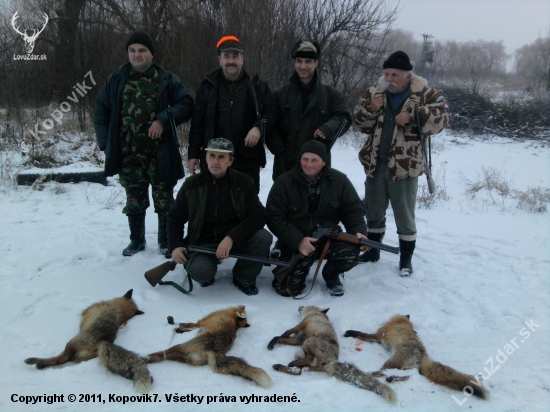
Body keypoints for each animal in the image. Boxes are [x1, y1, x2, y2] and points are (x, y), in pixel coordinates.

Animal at [268, 306, 396, 402]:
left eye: (305, 306)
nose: (299, 305)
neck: (316, 315)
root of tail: (331, 361)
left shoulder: (303, 325)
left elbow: (286, 332)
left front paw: (273, 341)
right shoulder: (297, 339)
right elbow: (280, 338)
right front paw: (273, 342)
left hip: (308, 343)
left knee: (308, 359)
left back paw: (289, 363)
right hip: (302, 352)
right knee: (298, 371)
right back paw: (281, 366)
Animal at [344, 316, 492, 400]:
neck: (401, 321)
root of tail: (424, 355)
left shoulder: (379, 335)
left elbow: (362, 334)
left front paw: (351, 333)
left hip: (391, 361)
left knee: (380, 372)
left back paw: (368, 374)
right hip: (404, 366)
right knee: (409, 375)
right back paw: (391, 378)